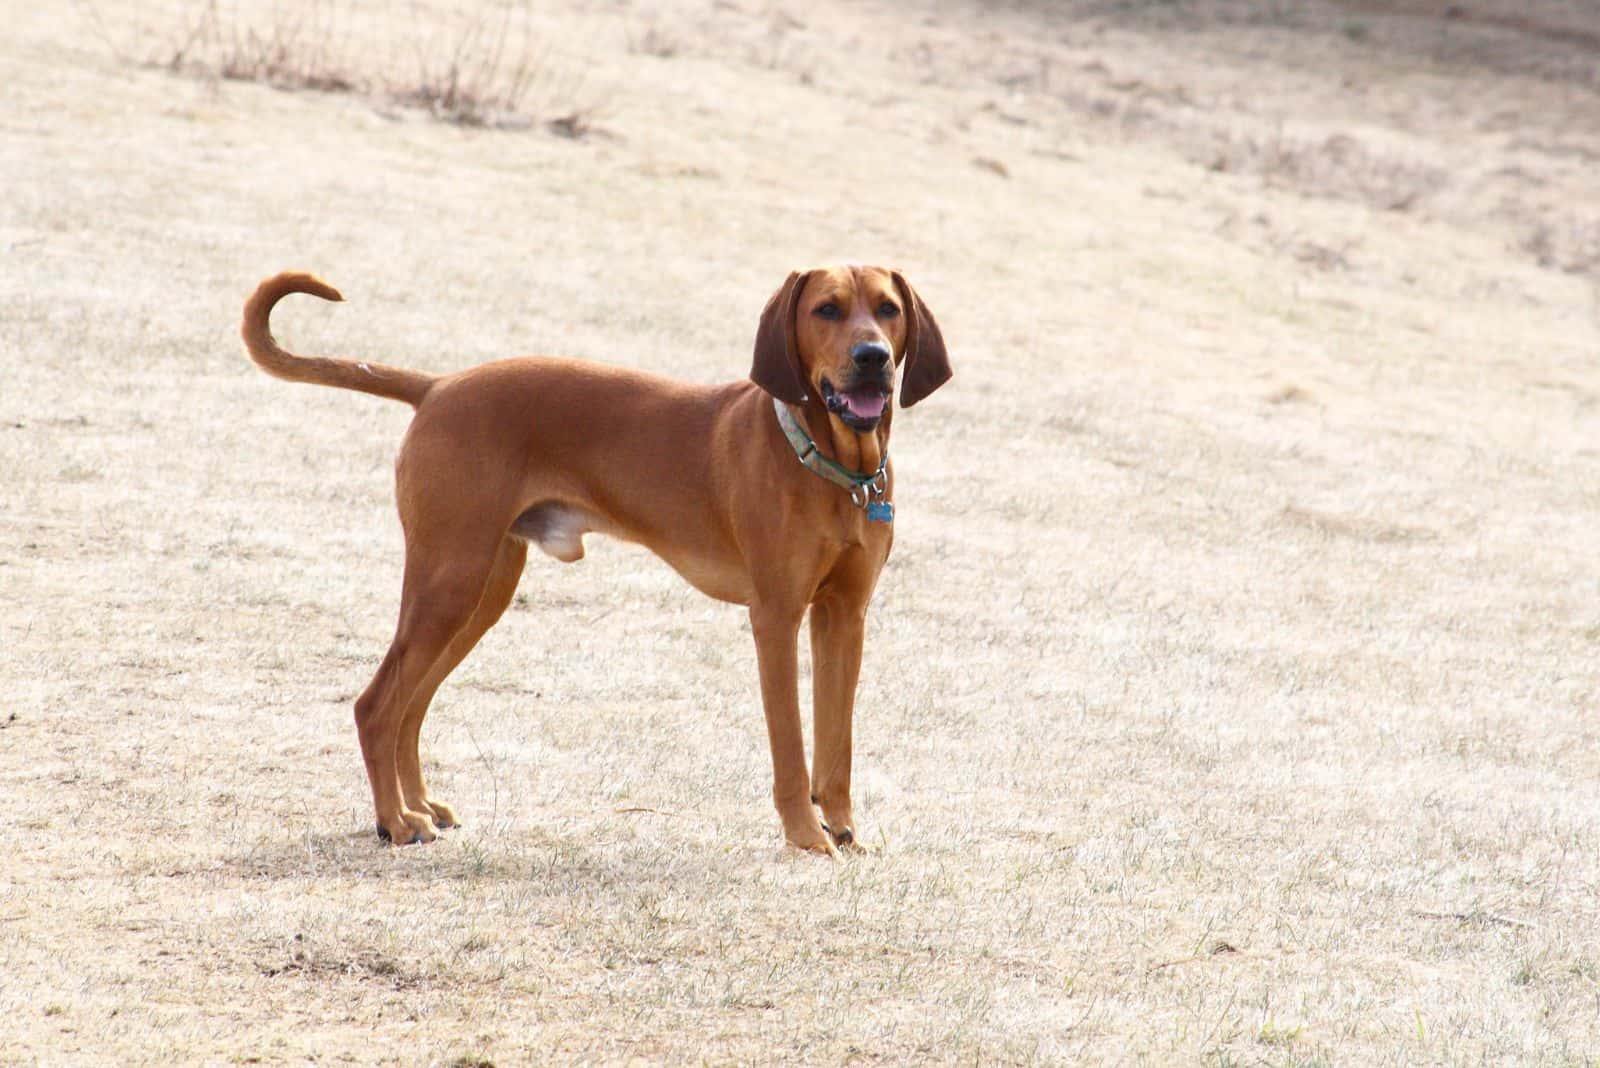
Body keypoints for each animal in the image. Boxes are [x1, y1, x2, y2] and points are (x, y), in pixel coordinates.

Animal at [240, 262, 947, 856]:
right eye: (827, 310)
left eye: (887, 309)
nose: (872, 357)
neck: (829, 467)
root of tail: (439, 387)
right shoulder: (775, 619)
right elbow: (792, 747)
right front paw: (806, 837)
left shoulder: (845, 618)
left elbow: (837, 742)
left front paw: (845, 829)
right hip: (449, 581)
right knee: (377, 705)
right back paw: (394, 821)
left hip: (480, 590)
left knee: (411, 704)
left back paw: (417, 805)